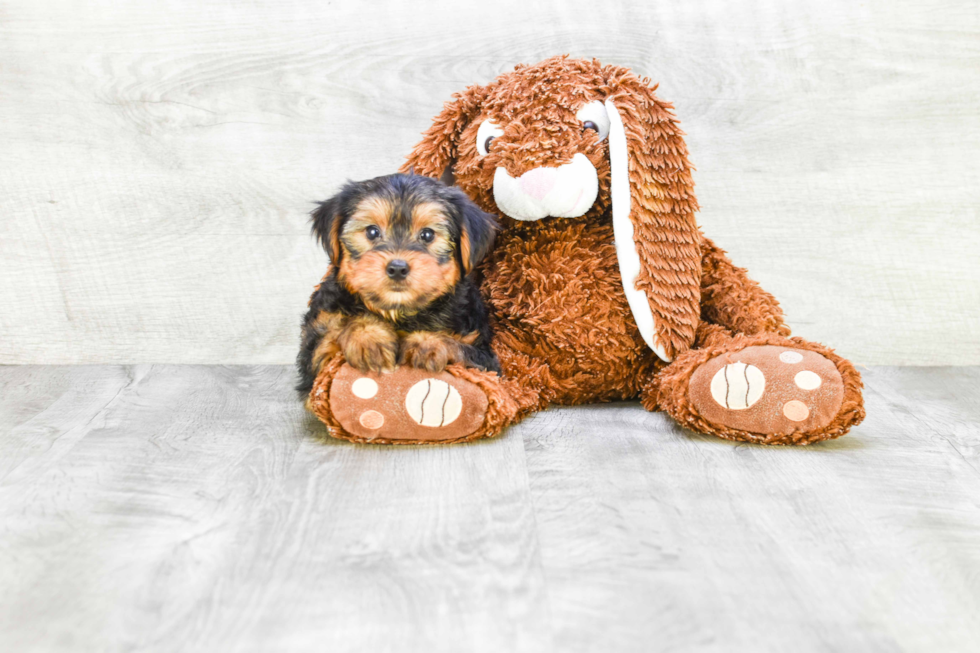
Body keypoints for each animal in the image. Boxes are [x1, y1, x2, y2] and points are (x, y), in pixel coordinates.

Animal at [296, 172, 498, 392]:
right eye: (372, 232)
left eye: (427, 234)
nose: (398, 268)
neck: (399, 312)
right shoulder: (317, 338)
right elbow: (332, 335)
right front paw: (368, 336)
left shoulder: (486, 358)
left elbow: (464, 350)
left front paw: (428, 343)